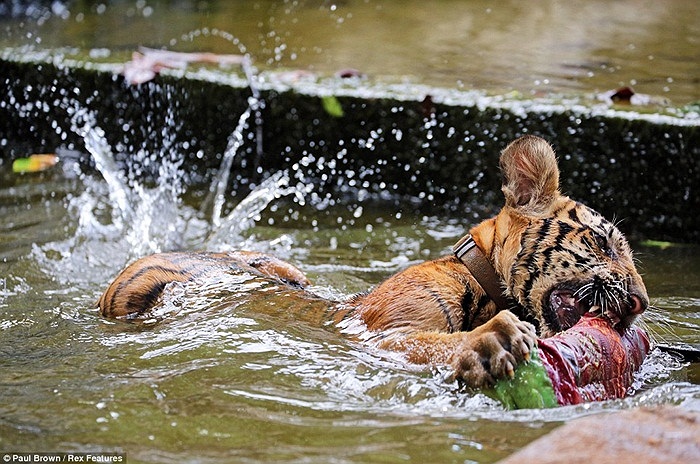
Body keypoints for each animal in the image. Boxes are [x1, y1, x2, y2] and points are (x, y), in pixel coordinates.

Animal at [97, 135, 648, 388]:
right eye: (604, 243)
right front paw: (490, 342)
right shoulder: (384, 334)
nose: (642, 303)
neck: (486, 282)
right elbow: (433, 341)